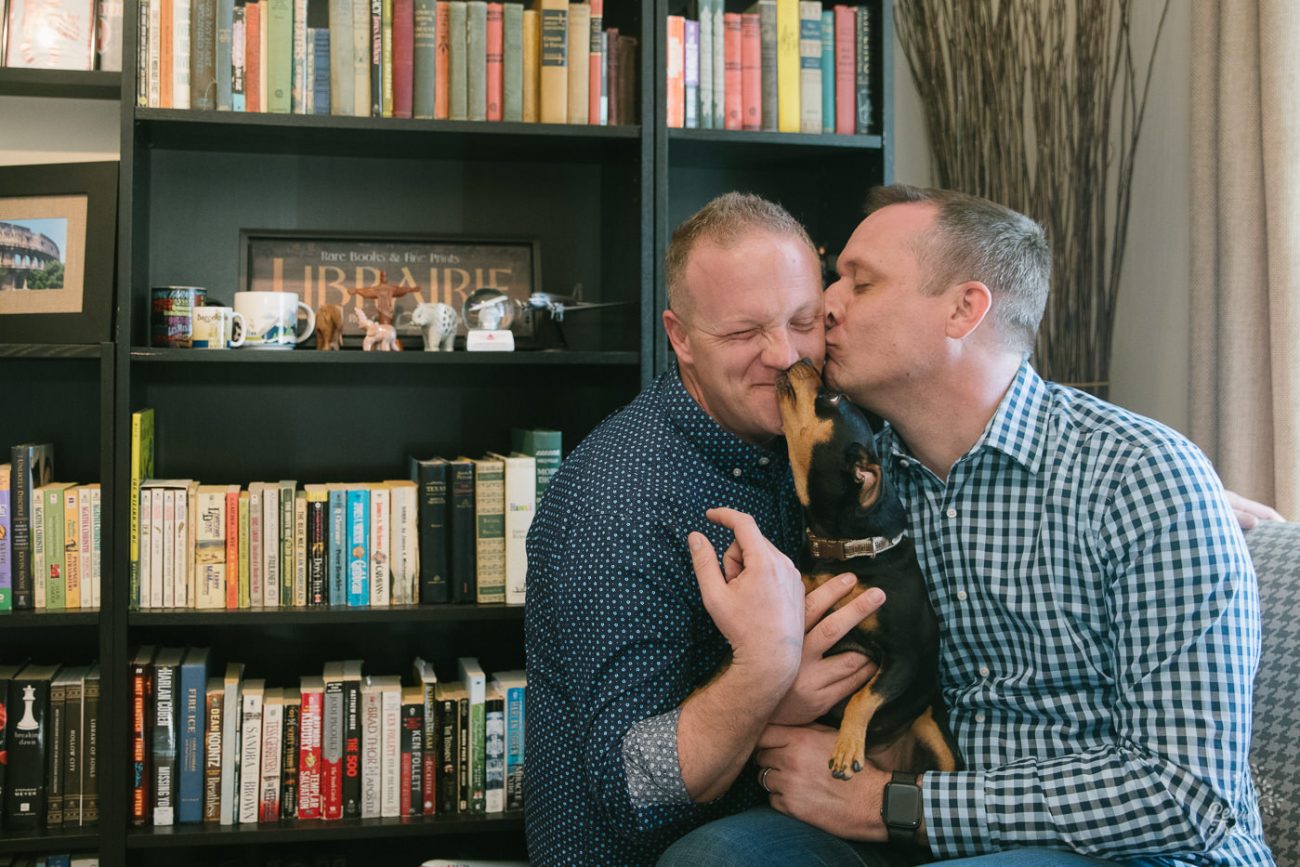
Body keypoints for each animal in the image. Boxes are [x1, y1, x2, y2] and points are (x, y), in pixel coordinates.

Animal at [774, 358, 961, 779]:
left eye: (833, 398)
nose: (803, 360)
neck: (843, 551)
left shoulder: (903, 657)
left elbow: (863, 696)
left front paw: (846, 750)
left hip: (934, 730)